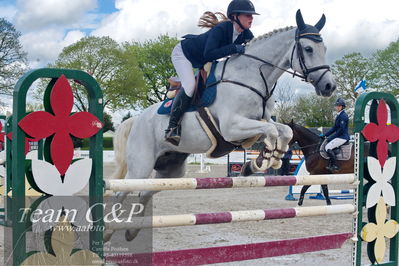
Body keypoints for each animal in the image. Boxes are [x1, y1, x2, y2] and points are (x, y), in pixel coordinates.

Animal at [105, 10, 338, 242]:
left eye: (325, 49)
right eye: (308, 49)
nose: (329, 86)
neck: (252, 76)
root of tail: (137, 119)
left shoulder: (261, 122)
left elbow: (284, 131)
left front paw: (261, 162)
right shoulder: (231, 127)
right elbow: (272, 132)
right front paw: (267, 160)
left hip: (171, 170)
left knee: (145, 191)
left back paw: (132, 231)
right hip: (141, 166)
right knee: (121, 191)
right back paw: (108, 230)